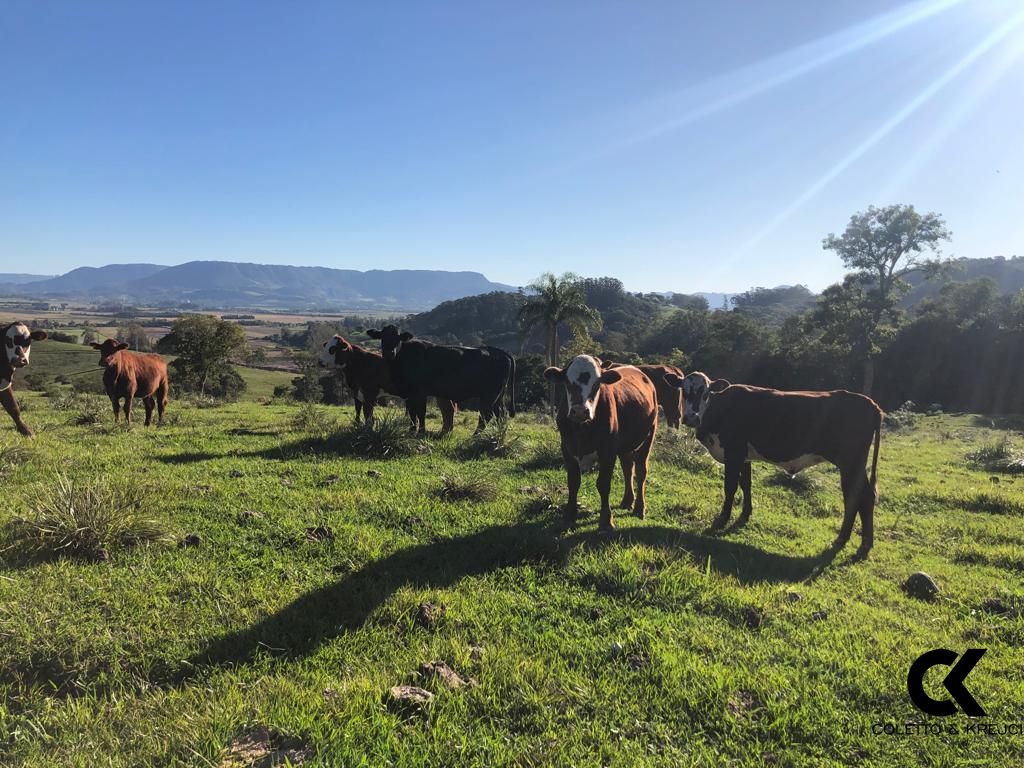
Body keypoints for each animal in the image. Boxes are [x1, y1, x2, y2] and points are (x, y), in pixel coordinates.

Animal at [313, 335, 454, 434]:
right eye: (326, 346)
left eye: (332, 349)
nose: (319, 361)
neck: (359, 363)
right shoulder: (356, 392)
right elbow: (358, 411)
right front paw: (357, 425)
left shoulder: (369, 393)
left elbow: (367, 412)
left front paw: (367, 429)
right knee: (447, 409)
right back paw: (445, 431)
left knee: (440, 410)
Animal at [364, 325, 516, 434]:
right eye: (382, 337)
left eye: (398, 338)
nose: (390, 352)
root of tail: (500, 352)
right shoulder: (409, 394)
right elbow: (412, 413)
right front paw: (411, 431)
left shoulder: (420, 392)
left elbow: (420, 412)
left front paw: (421, 432)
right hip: (499, 395)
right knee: (501, 413)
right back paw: (498, 433)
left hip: (489, 394)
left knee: (486, 414)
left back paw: (476, 436)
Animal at [544, 358, 655, 532]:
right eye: (567, 382)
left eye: (597, 384)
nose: (580, 411)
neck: (581, 429)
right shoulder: (567, 449)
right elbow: (573, 482)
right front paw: (569, 516)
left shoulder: (607, 451)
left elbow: (603, 484)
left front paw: (606, 521)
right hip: (624, 446)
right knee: (627, 468)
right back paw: (627, 501)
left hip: (648, 436)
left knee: (641, 471)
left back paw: (639, 508)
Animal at [663, 370, 880, 557]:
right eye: (683, 390)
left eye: (706, 393)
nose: (691, 418)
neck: (721, 409)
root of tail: (870, 403)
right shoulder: (744, 456)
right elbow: (746, 484)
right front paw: (745, 514)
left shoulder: (734, 452)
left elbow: (730, 487)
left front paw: (722, 519)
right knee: (865, 497)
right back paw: (862, 544)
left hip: (850, 463)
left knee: (856, 497)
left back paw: (845, 540)